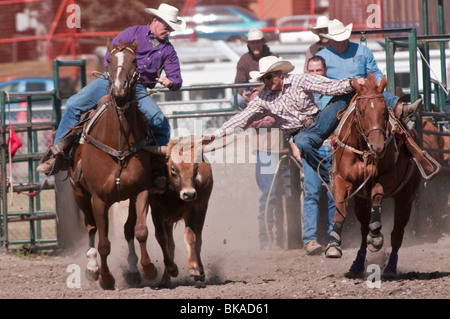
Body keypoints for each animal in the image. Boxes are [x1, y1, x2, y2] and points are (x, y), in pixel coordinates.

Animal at [67, 39, 157, 290]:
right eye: (108, 60)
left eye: (134, 60)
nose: (119, 89)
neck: (118, 141)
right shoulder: (98, 199)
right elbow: (104, 243)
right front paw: (105, 277)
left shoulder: (140, 191)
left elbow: (140, 231)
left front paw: (147, 269)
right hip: (79, 193)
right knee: (91, 227)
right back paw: (92, 269)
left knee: (127, 230)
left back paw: (132, 270)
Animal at [326, 75, 422, 278]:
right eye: (361, 112)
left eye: (384, 111)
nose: (377, 146)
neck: (363, 147)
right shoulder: (342, 180)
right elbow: (340, 208)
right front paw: (333, 243)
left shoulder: (386, 177)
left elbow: (377, 195)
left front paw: (376, 234)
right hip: (361, 202)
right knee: (363, 232)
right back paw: (356, 265)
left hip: (405, 199)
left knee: (397, 233)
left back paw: (390, 267)